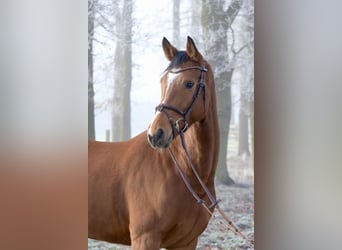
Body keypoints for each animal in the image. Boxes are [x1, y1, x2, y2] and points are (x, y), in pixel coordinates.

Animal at [88, 37, 220, 250]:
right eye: (162, 82)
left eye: (189, 83)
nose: (156, 133)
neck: (183, 172)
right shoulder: (145, 238)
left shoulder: (187, 242)